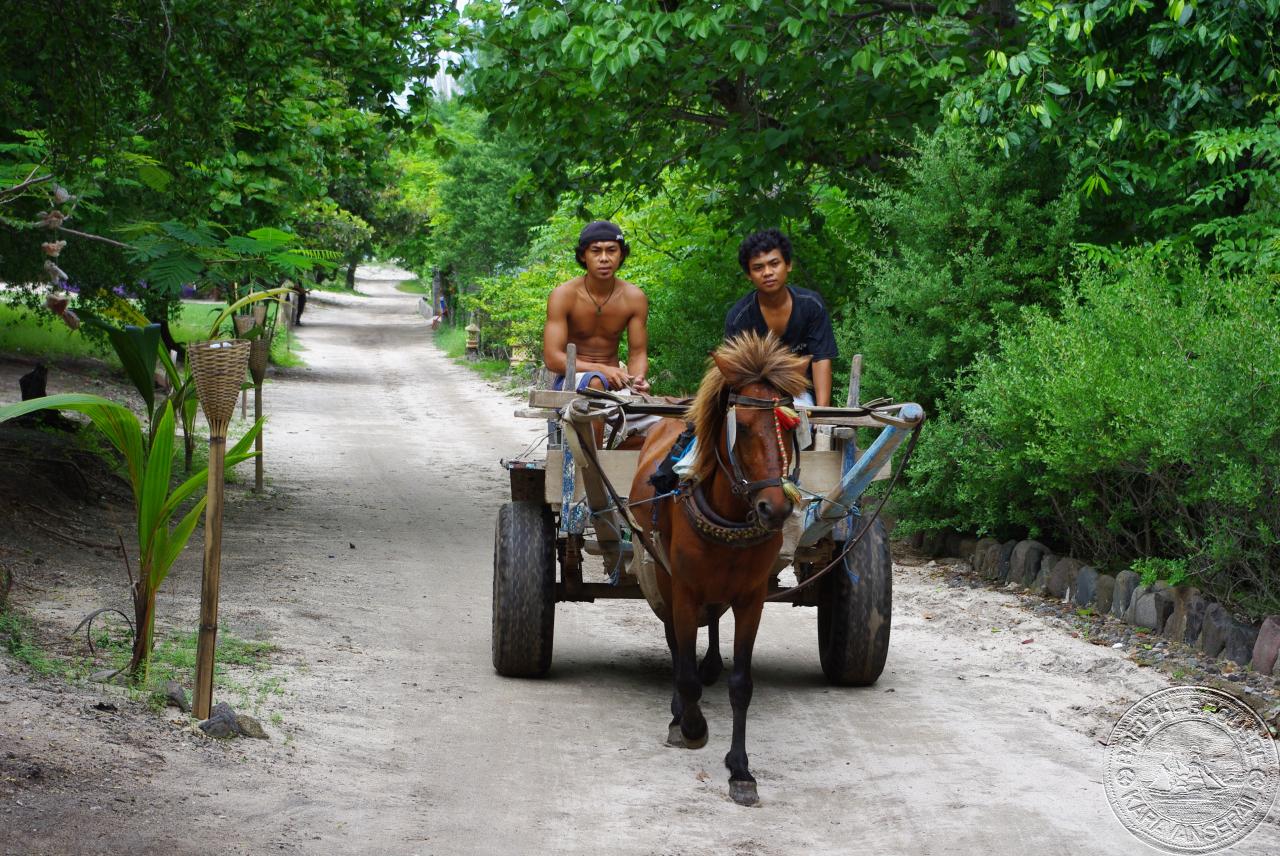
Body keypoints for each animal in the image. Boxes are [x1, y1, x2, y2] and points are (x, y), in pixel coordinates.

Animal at [629, 330, 808, 803]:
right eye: (741, 427)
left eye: (791, 429)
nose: (774, 508)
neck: (728, 515)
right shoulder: (684, 589)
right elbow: (685, 668)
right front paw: (691, 726)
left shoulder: (751, 597)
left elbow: (741, 683)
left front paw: (740, 770)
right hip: (664, 575)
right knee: (677, 645)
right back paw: (679, 712)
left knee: (707, 628)